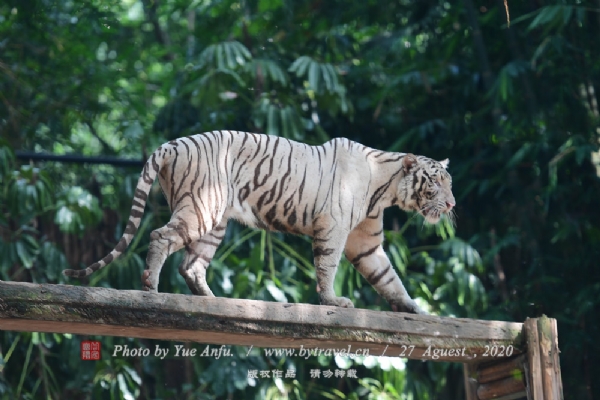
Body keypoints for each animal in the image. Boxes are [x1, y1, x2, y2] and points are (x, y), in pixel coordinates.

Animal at [63, 130, 454, 314]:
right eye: (435, 183)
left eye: (449, 182)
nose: (452, 203)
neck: (385, 189)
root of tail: (172, 144)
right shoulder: (333, 227)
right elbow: (327, 266)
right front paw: (333, 301)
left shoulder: (366, 242)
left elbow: (388, 277)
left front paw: (414, 308)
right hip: (201, 208)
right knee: (161, 236)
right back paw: (150, 288)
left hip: (215, 220)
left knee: (192, 265)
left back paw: (213, 300)